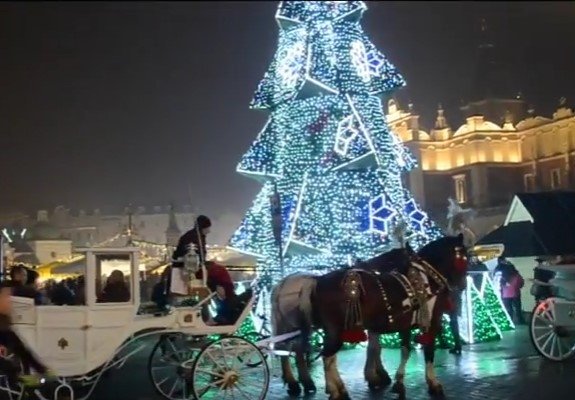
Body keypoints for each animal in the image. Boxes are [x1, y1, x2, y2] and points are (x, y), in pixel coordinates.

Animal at [271, 234, 468, 400]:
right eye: (463, 258)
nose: (462, 285)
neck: (424, 279)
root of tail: (316, 281)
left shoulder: (404, 325)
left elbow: (404, 350)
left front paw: (397, 382)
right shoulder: (431, 323)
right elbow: (427, 352)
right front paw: (433, 384)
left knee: (308, 353)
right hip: (332, 330)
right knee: (323, 356)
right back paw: (332, 390)